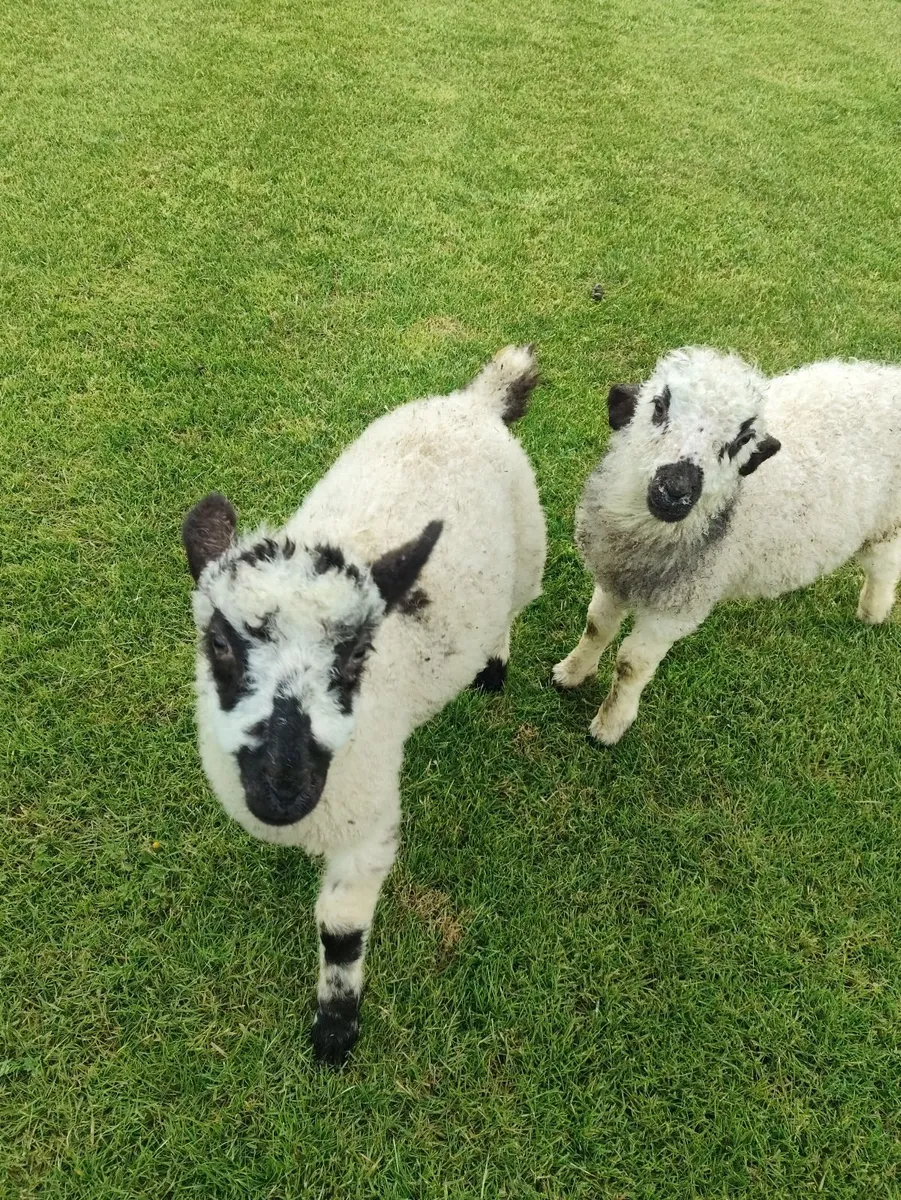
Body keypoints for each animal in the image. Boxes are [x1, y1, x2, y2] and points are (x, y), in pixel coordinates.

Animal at [181, 346, 546, 1066]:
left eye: (355, 657)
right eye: (220, 643)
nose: (283, 788)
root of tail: (473, 402)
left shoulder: (368, 824)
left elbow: (341, 931)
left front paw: (334, 1032)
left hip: (529, 545)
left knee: (515, 608)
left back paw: (493, 667)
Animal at [553, 346, 901, 744]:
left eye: (740, 440)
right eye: (659, 406)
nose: (676, 488)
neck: (647, 538)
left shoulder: (677, 609)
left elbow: (631, 665)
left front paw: (609, 726)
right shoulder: (614, 575)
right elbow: (596, 626)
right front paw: (570, 673)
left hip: (885, 522)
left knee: (885, 565)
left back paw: (872, 612)